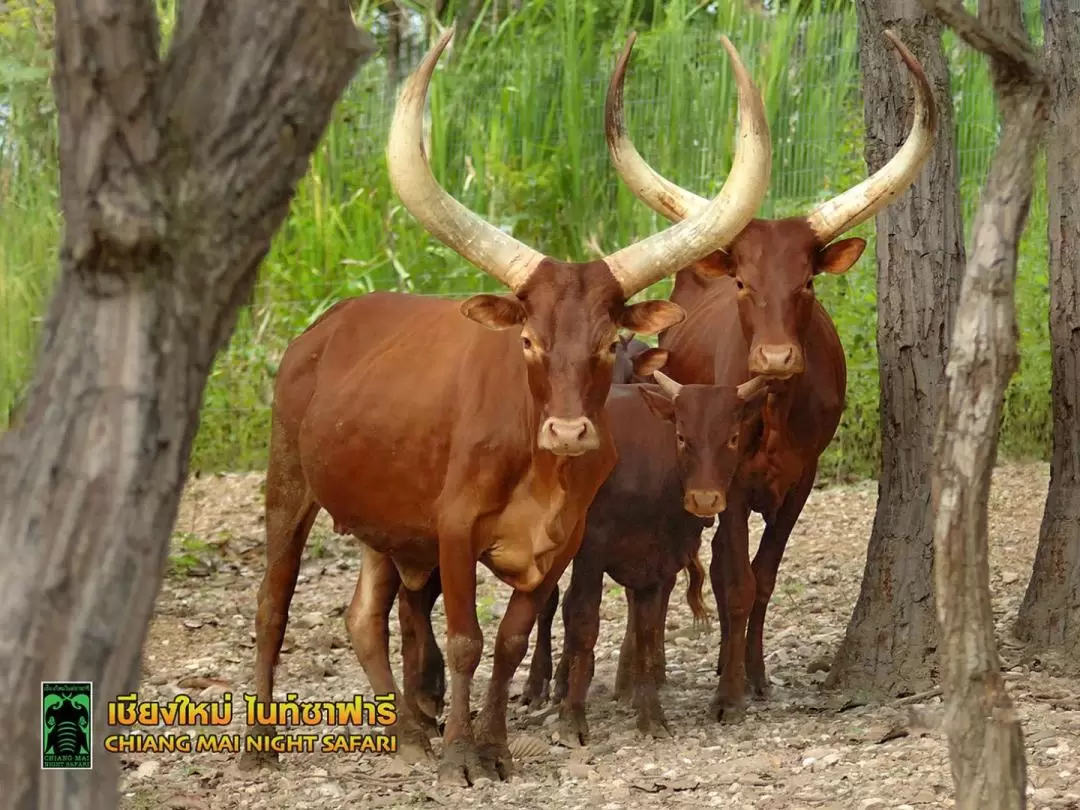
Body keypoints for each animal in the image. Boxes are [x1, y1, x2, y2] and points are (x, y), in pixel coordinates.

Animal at [240, 27, 773, 786]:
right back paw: (261, 742)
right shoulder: (455, 528)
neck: (540, 468)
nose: (569, 431)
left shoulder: (563, 542)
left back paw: (408, 734)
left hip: (382, 522)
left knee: (363, 616)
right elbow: (465, 639)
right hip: (288, 481)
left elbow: (513, 641)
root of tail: (322, 329)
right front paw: (463, 756)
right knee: (272, 603)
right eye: (527, 339)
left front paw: (491, 746)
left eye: (609, 342)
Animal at [609, 28, 937, 721]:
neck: (776, 411)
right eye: (742, 282)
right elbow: (733, 578)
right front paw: (727, 695)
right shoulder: (728, 481)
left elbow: (763, 578)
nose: (776, 358)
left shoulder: (801, 482)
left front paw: (753, 677)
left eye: (807, 282)